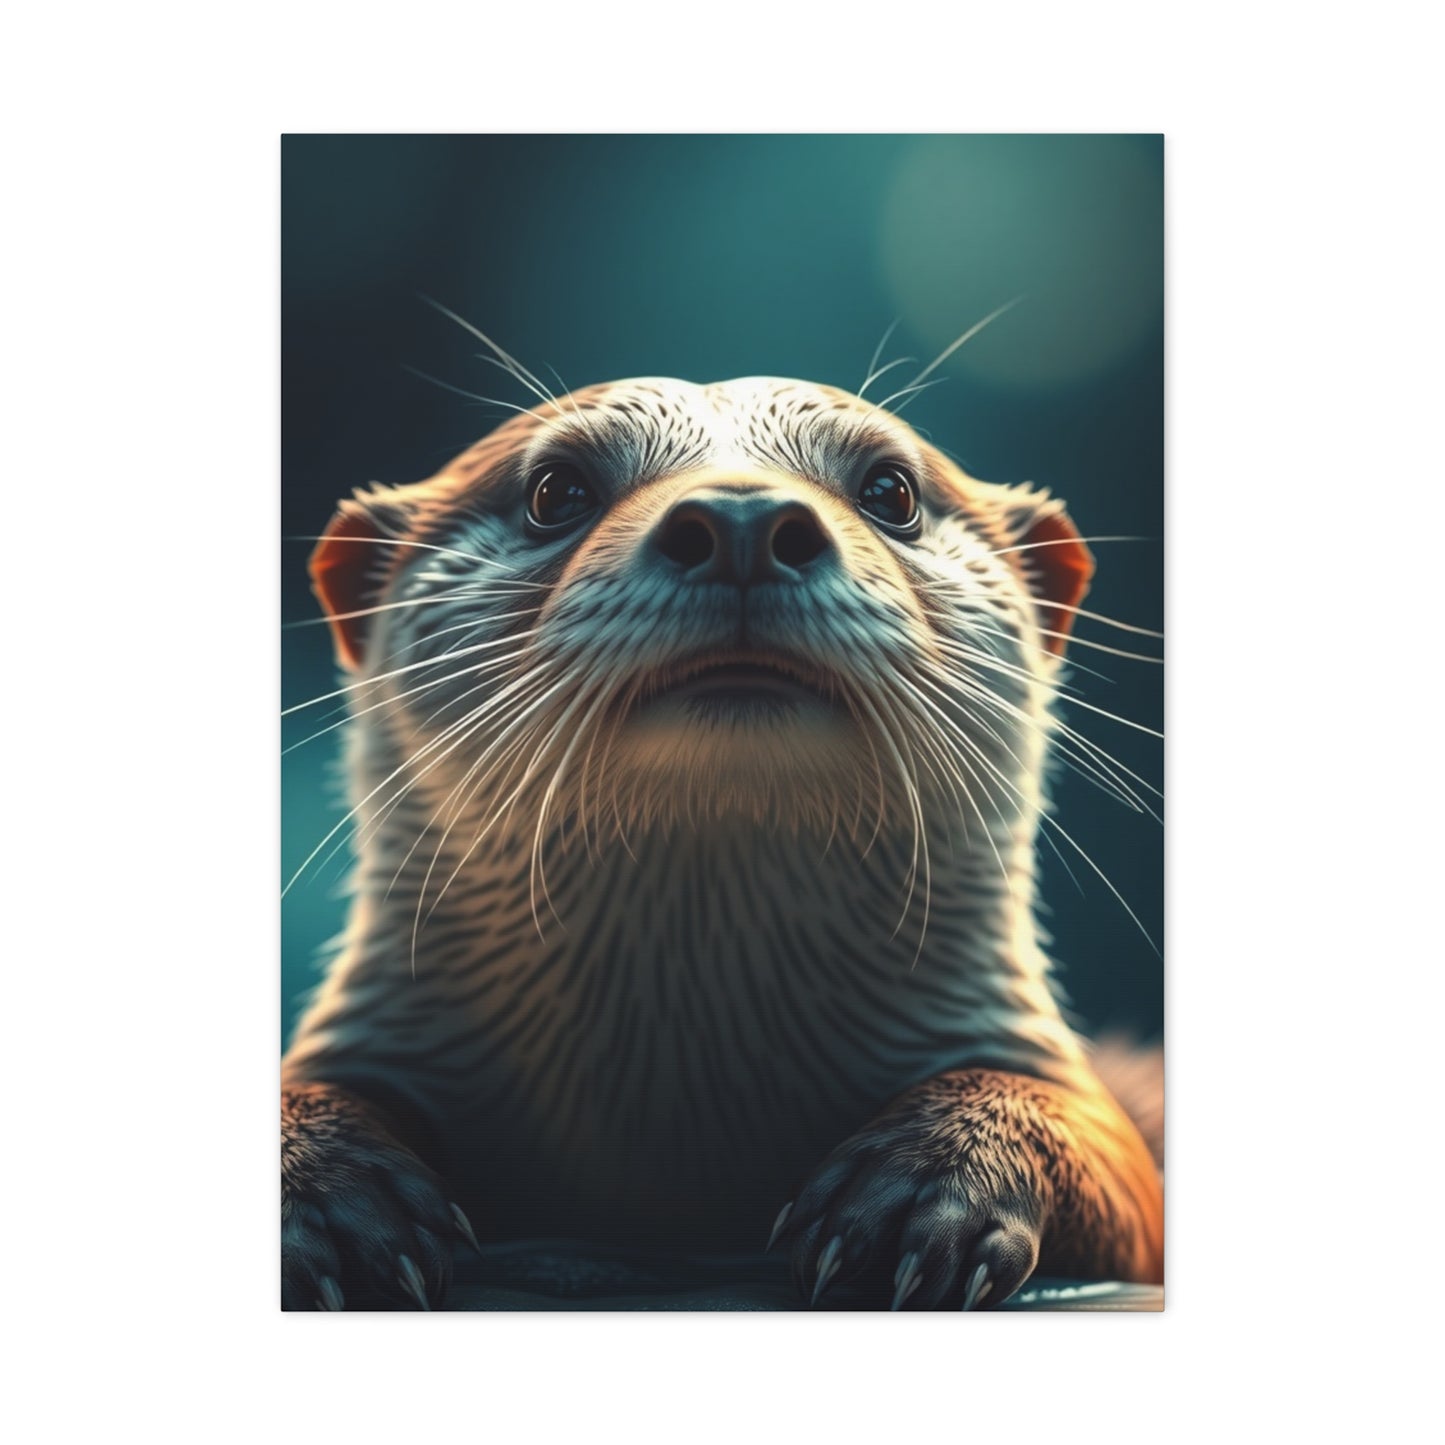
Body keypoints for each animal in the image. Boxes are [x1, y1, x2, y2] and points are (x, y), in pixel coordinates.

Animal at [281, 366, 1164, 1311]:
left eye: (891, 491)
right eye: (555, 491)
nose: (744, 519)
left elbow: (1104, 1147)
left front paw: (928, 1188)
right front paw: (328, 1199)